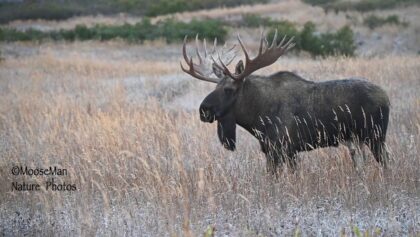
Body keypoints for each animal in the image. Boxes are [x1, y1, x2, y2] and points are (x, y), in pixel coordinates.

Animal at [180, 31, 390, 172]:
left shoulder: (283, 148)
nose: (204, 110)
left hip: (376, 136)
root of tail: (387, 98)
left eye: (228, 89)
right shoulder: (276, 151)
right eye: (214, 87)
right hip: (358, 141)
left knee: (386, 161)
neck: (257, 117)